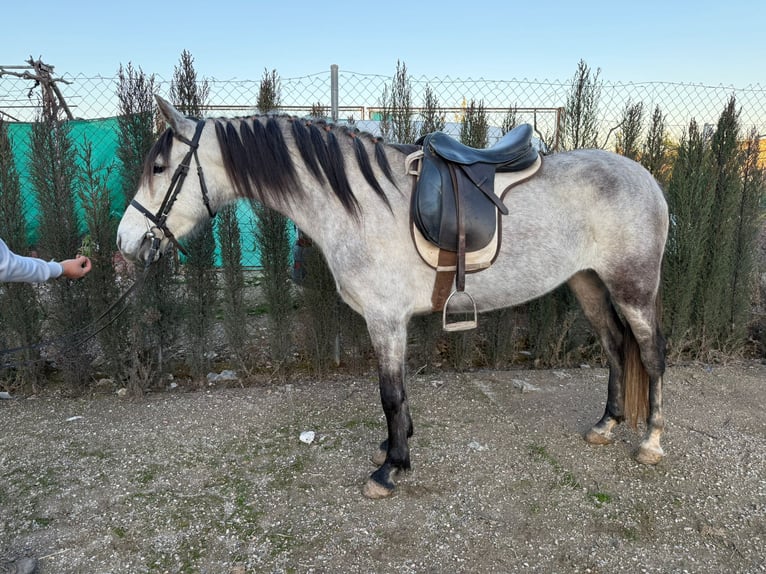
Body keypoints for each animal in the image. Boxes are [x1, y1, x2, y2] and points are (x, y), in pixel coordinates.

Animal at [117, 98, 668, 500]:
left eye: (160, 167)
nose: (125, 242)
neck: (357, 202)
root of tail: (647, 177)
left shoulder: (385, 319)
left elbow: (389, 394)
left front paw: (390, 468)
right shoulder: (389, 321)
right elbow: (398, 392)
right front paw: (397, 444)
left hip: (634, 289)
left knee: (650, 355)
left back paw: (651, 441)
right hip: (588, 283)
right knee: (615, 347)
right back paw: (606, 424)